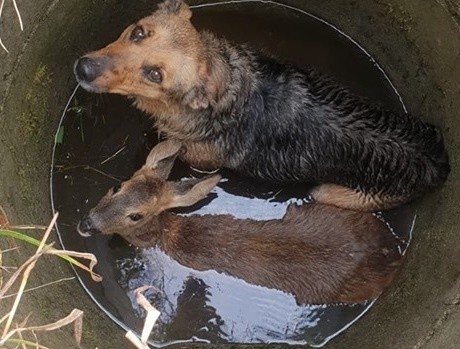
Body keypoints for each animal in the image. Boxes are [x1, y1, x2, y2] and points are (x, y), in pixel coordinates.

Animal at [74, 0, 450, 209]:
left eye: (155, 74)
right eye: (138, 32)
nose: (83, 68)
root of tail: (439, 160)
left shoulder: (200, 163)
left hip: (329, 192)